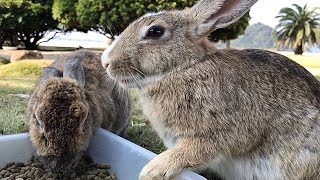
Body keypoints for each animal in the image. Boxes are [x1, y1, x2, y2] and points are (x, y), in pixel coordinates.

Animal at [101, 0, 320, 180]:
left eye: (155, 31)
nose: (105, 62)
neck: (186, 67)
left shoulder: (222, 133)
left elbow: (196, 151)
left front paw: (152, 170)